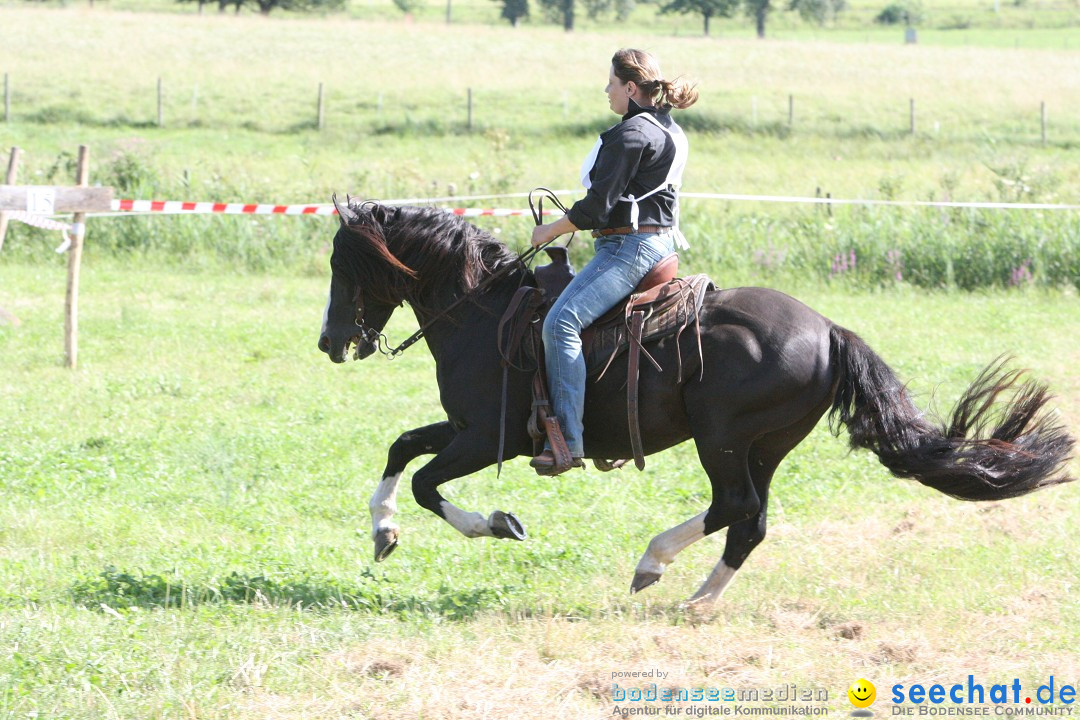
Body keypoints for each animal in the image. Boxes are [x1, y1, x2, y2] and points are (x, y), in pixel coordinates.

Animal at [315, 199, 1075, 604]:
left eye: (342, 265)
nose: (329, 341)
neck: (484, 309)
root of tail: (829, 330)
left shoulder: (489, 437)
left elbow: (425, 481)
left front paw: (498, 523)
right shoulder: (467, 427)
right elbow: (402, 448)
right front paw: (382, 532)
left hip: (725, 439)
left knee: (734, 507)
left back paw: (659, 567)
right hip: (764, 446)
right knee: (750, 520)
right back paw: (695, 596)